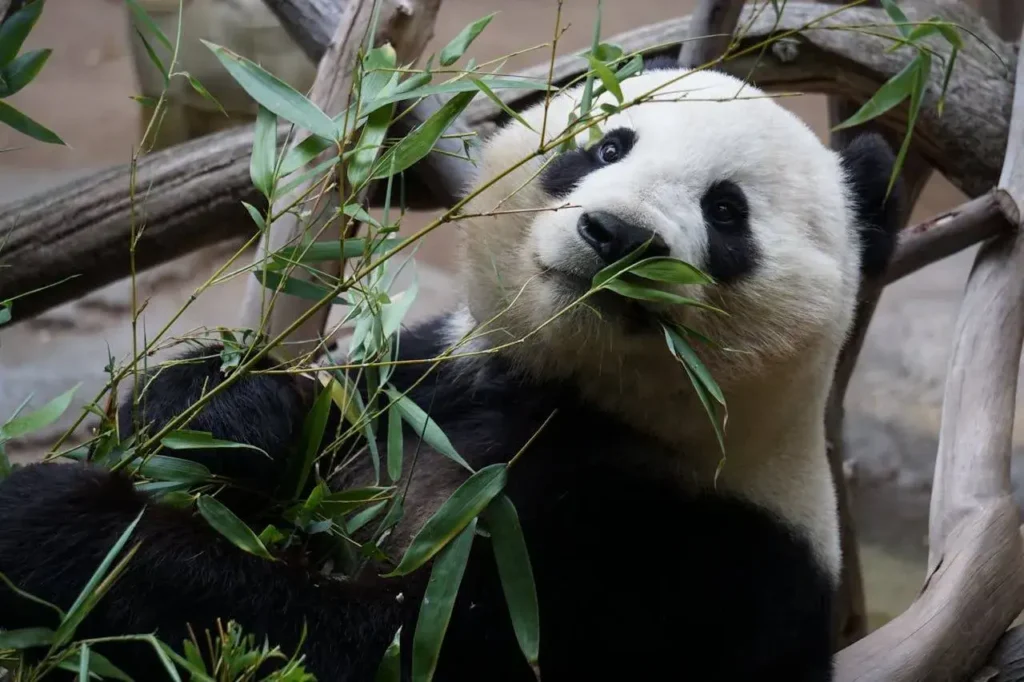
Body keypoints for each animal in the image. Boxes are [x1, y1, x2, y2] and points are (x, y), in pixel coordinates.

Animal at [0, 61, 902, 682]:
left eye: (725, 210)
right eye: (608, 142)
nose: (617, 235)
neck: (575, 394)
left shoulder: (695, 560)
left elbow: (379, 647)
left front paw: (60, 527)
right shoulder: (430, 382)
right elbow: (298, 415)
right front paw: (231, 416)